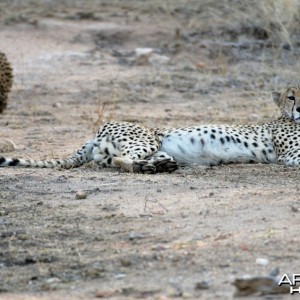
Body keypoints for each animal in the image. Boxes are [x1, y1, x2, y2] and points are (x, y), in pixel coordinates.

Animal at [0, 85, 300, 173]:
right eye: (291, 96)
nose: (299, 107)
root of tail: (96, 131)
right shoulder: (289, 155)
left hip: (149, 147)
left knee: (109, 159)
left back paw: (159, 165)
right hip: (146, 139)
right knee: (120, 161)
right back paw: (146, 167)